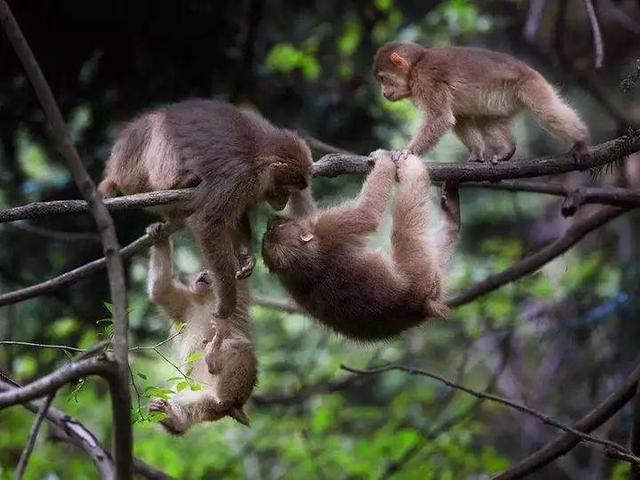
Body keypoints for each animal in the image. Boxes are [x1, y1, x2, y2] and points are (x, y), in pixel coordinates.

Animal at [97, 98, 312, 318]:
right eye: (285, 190)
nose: (284, 202)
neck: (259, 155)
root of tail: (115, 168)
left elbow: (237, 214)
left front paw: (246, 256)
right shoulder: (239, 177)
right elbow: (209, 223)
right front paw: (227, 300)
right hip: (134, 169)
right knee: (160, 134)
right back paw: (181, 182)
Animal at [144, 223, 256, 434]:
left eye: (210, 273)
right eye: (202, 272)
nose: (204, 274)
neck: (206, 300)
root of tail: (233, 405)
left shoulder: (235, 297)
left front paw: (245, 259)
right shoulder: (186, 305)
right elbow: (160, 289)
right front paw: (158, 236)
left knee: (237, 345)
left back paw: (214, 357)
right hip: (201, 394)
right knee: (195, 405)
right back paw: (174, 419)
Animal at [260, 150, 460, 342]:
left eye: (273, 229)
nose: (270, 221)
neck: (302, 266)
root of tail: (421, 306)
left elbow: (305, 211)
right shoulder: (331, 227)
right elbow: (367, 214)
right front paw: (383, 160)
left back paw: (452, 212)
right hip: (422, 275)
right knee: (406, 225)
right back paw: (413, 170)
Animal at [372, 40, 592, 163]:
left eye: (383, 79)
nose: (383, 93)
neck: (417, 65)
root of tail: (530, 71)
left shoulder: (426, 79)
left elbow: (440, 118)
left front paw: (407, 152)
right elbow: (458, 118)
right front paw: (477, 153)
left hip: (529, 87)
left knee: (546, 112)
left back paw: (581, 139)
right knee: (487, 121)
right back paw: (506, 150)